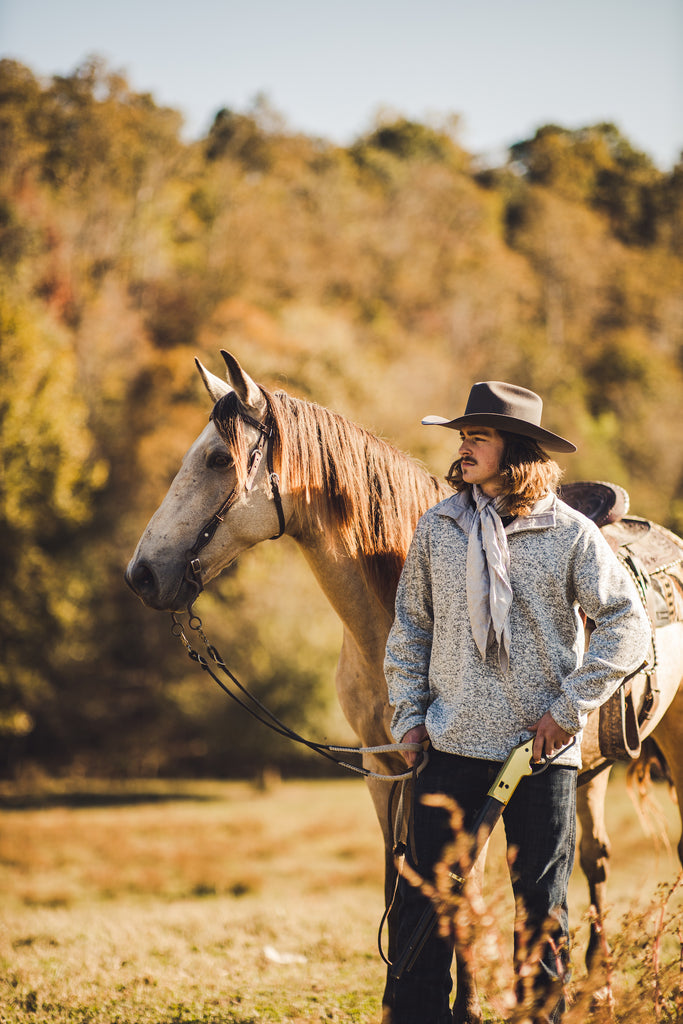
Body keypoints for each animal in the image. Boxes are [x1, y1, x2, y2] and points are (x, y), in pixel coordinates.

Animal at [125, 352, 683, 1024]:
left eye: (215, 459)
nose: (141, 574)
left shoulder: (469, 780)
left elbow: (462, 888)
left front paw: (467, 1006)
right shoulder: (386, 769)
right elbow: (401, 878)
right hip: (587, 767)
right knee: (595, 860)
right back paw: (595, 991)